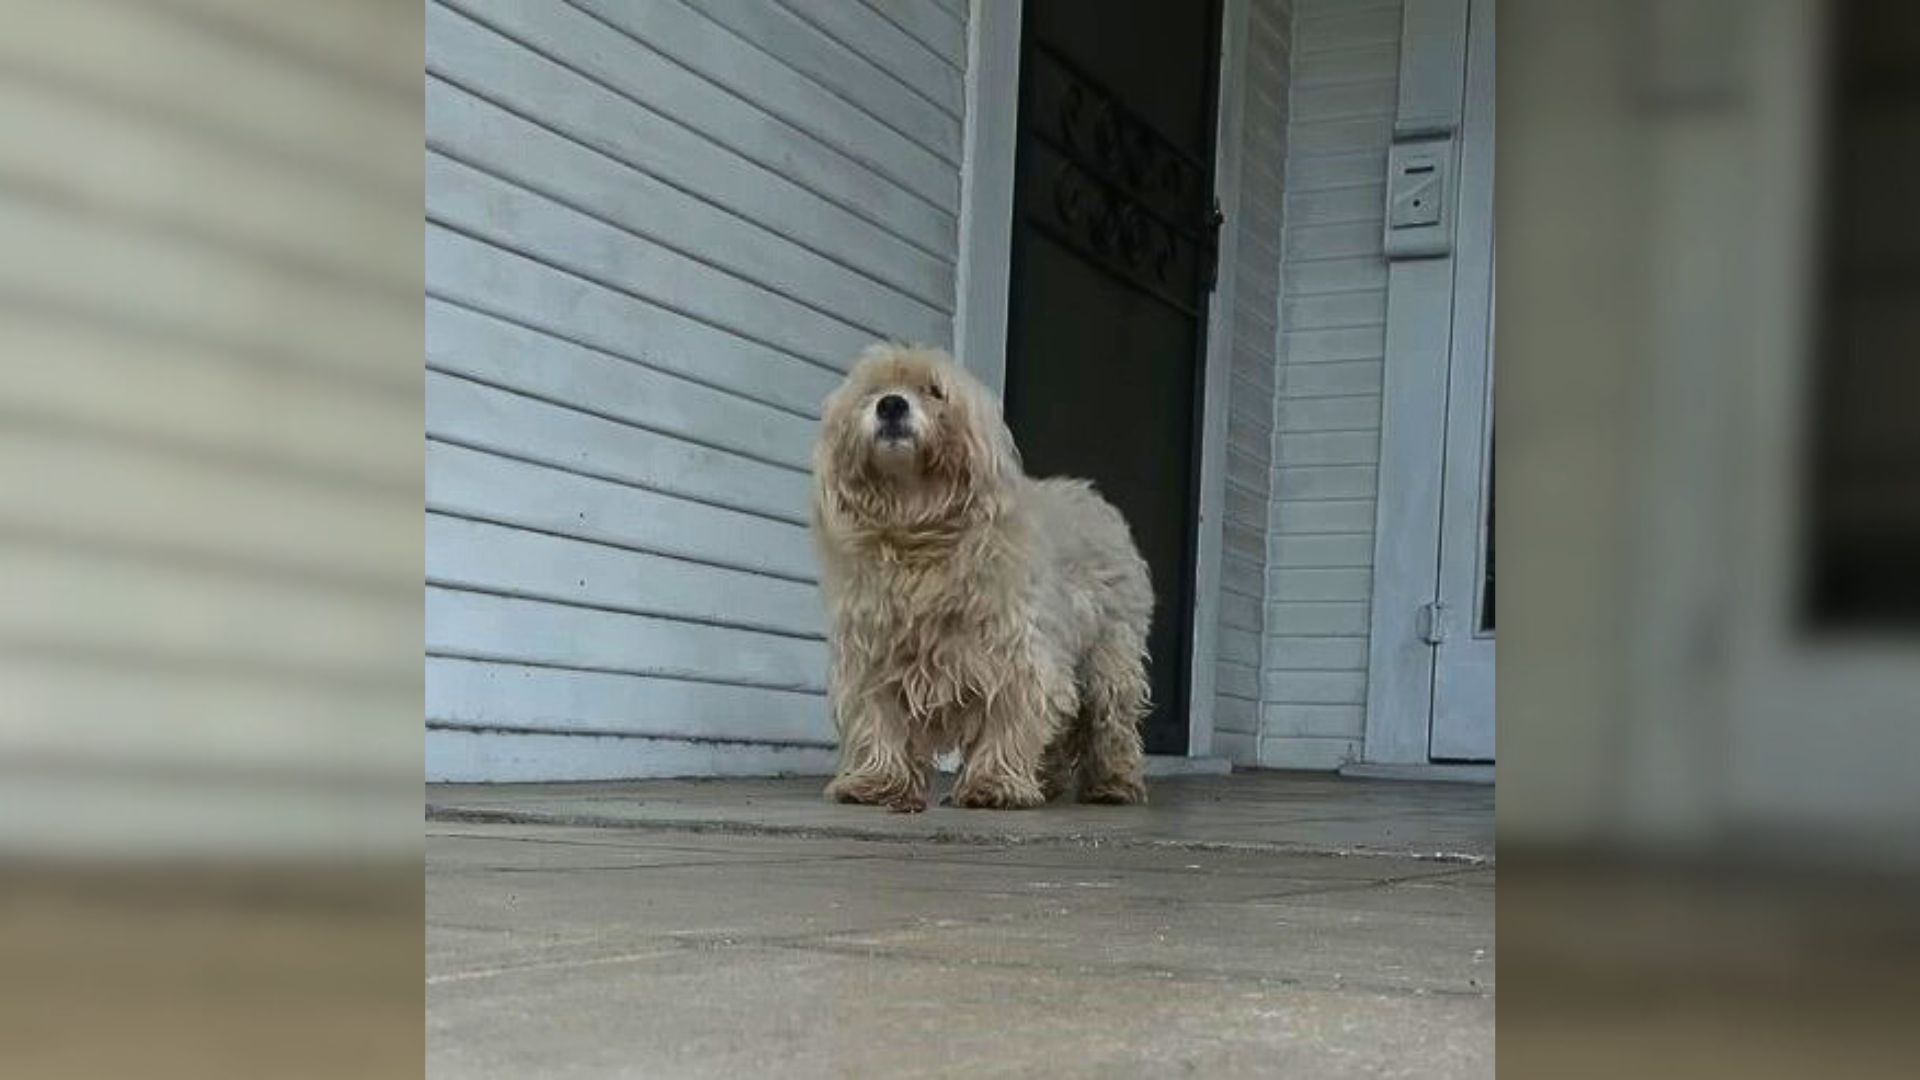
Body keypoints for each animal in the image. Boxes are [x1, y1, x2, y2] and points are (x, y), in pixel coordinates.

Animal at [810, 342, 1152, 807]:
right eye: (873, 392)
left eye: (935, 390)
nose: (891, 404)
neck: (919, 537)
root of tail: (1093, 498)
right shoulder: (874, 658)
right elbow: (879, 721)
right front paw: (877, 781)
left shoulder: (1015, 657)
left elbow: (1008, 722)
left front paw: (994, 783)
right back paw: (1047, 781)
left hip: (1109, 659)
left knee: (1110, 723)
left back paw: (1113, 782)